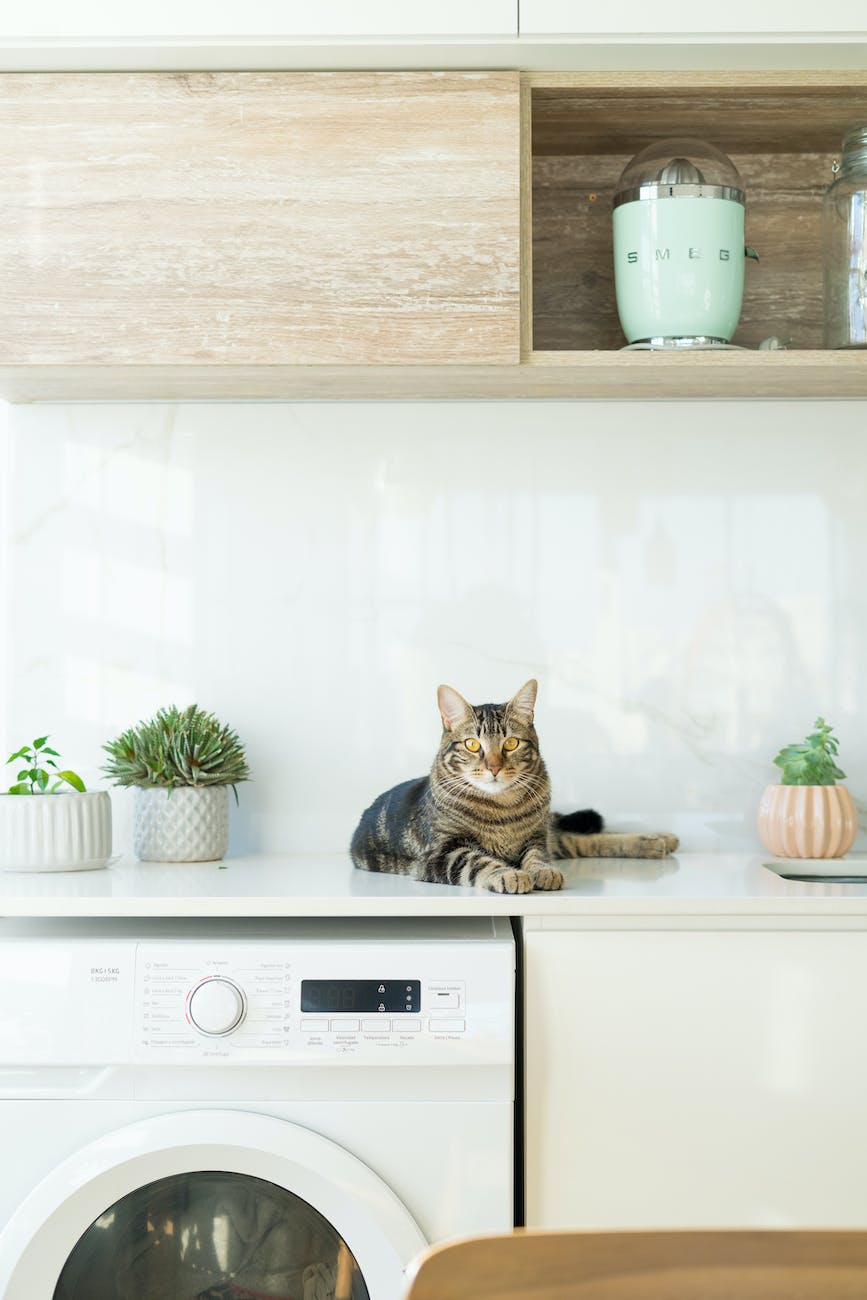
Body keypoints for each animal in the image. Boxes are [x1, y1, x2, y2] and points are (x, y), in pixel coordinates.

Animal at [350, 681, 675, 894]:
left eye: (511, 743)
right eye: (472, 744)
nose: (493, 767)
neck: (501, 809)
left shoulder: (536, 838)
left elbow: (538, 857)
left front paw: (542, 872)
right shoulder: (441, 853)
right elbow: (478, 861)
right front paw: (510, 875)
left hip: (548, 830)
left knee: (580, 838)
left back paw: (658, 839)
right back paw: (659, 841)